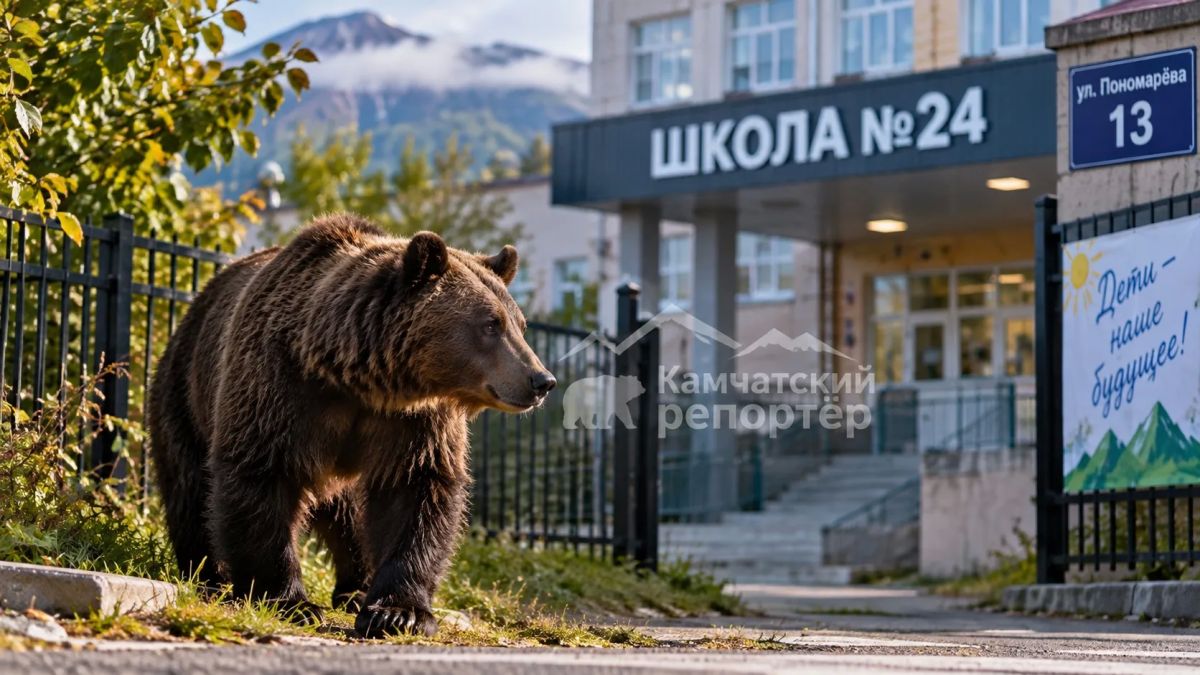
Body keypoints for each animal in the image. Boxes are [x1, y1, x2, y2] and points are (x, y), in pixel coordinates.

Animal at [147, 214, 556, 638]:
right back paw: (208, 576)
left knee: (349, 517)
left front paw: (399, 612)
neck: (361, 382)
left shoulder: (415, 422)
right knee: (190, 487)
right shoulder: (279, 387)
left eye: (520, 325)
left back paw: (355, 590)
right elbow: (260, 476)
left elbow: (416, 491)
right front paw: (290, 601)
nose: (542, 380)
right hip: (184, 391)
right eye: (490, 324)